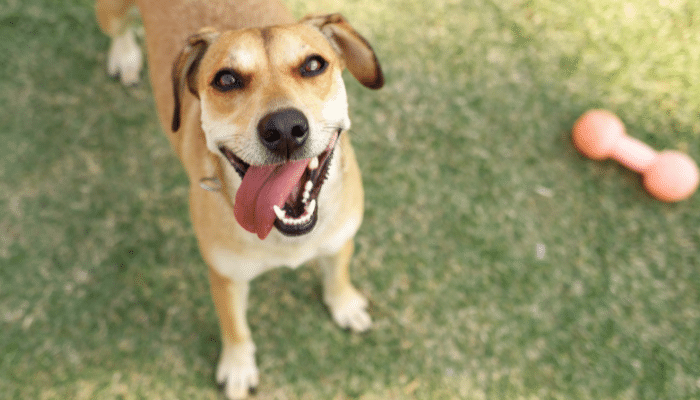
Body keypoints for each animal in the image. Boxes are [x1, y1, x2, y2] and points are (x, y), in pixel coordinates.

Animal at [95, 0, 382, 396]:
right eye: (226, 80)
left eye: (313, 65)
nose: (284, 129)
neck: (285, 238)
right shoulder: (225, 276)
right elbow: (234, 325)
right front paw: (237, 367)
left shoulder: (340, 238)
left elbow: (337, 273)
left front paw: (344, 305)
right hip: (110, 13)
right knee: (119, 30)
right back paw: (124, 56)